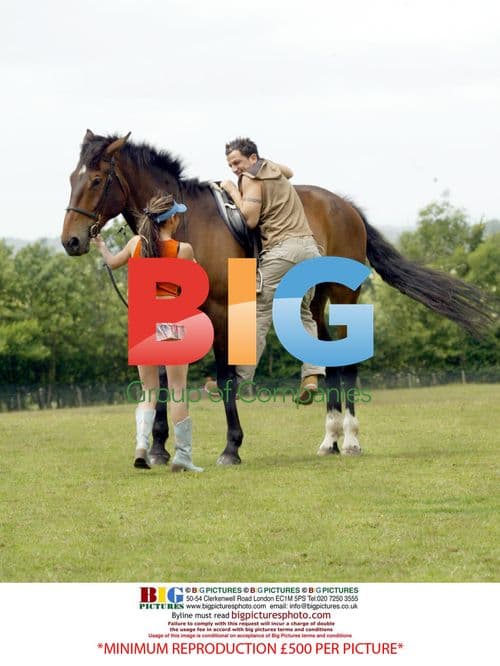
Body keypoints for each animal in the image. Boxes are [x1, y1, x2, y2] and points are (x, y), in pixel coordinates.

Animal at [61, 130, 491, 465]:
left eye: (97, 180)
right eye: (71, 178)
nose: (72, 241)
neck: (180, 224)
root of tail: (346, 206)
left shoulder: (221, 311)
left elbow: (226, 374)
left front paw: (231, 448)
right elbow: (166, 374)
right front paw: (159, 448)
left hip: (344, 298)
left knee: (347, 362)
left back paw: (351, 439)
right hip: (315, 302)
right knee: (326, 356)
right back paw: (330, 439)